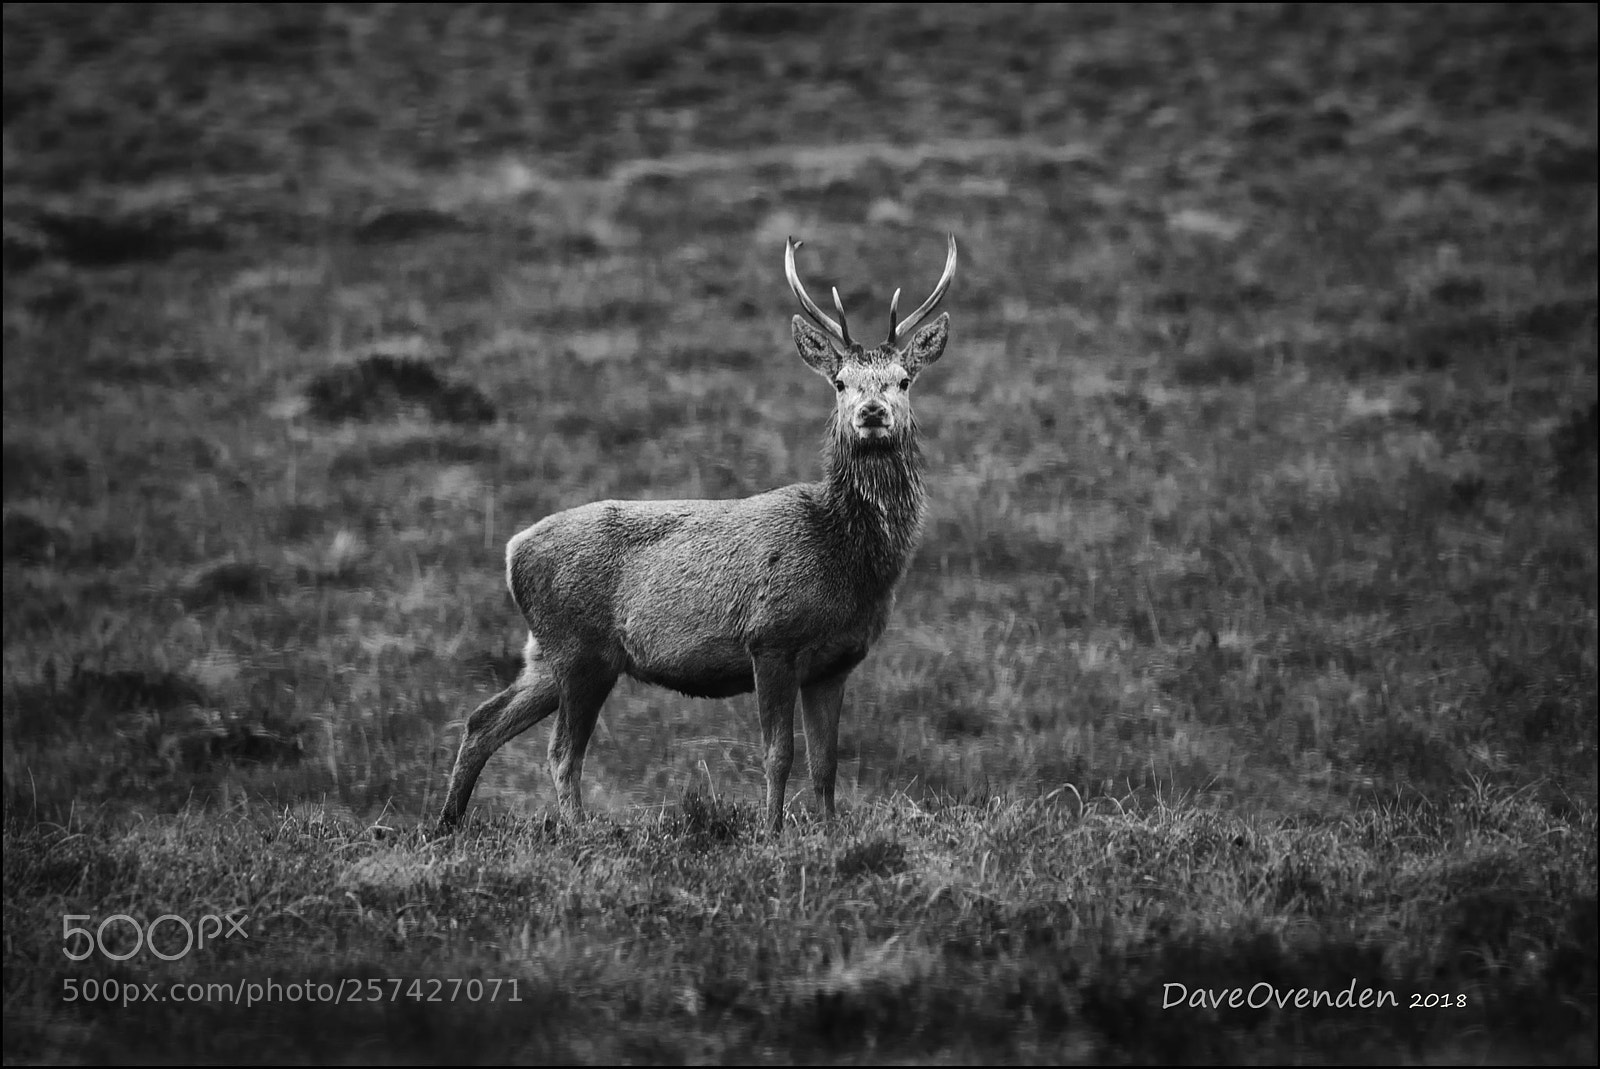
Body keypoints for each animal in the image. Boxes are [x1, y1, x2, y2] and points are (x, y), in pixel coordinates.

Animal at [436, 234, 957, 835]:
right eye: (840, 382)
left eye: (903, 380)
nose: (871, 412)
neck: (845, 556)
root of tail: (512, 550)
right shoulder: (770, 639)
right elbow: (778, 754)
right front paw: (772, 832)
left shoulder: (836, 662)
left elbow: (827, 763)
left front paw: (828, 834)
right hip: (579, 649)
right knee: (562, 752)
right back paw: (577, 830)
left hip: (547, 653)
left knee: (483, 720)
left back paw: (448, 822)